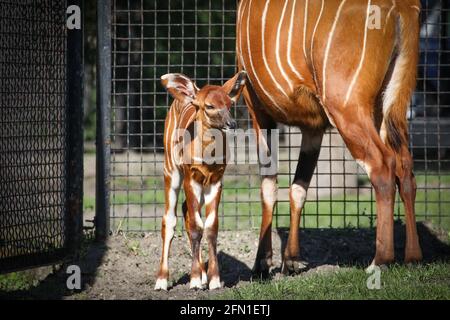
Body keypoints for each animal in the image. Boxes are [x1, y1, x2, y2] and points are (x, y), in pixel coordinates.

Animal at [155, 71, 246, 292]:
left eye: (229, 104)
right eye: (210, 106)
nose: (231, 124)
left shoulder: (215, 181)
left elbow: (211, 226)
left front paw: (213, 280)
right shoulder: (191, 178)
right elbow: (196, 226)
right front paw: (195, 280)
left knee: (186, 210)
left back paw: (203, 276)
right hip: (171, 171)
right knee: (169, 219)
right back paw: (161, 280)